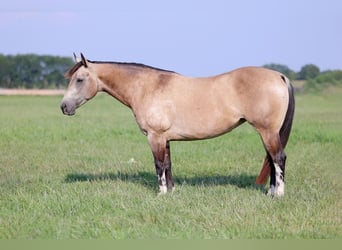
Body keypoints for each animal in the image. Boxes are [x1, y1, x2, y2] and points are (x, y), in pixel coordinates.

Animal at [60, 53, 294, 197]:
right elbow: (168, 164)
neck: (148, 87)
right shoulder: (165, 138)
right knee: (271, 159)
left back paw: (278, 194)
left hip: (267, 131)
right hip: (268, 132)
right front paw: (171, 192)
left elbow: (159, 165)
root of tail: (280, 76)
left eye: (79, 79)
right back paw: (271, 191)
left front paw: (161, 193)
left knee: (278, 158)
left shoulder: (155, 136)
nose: (64, 107)